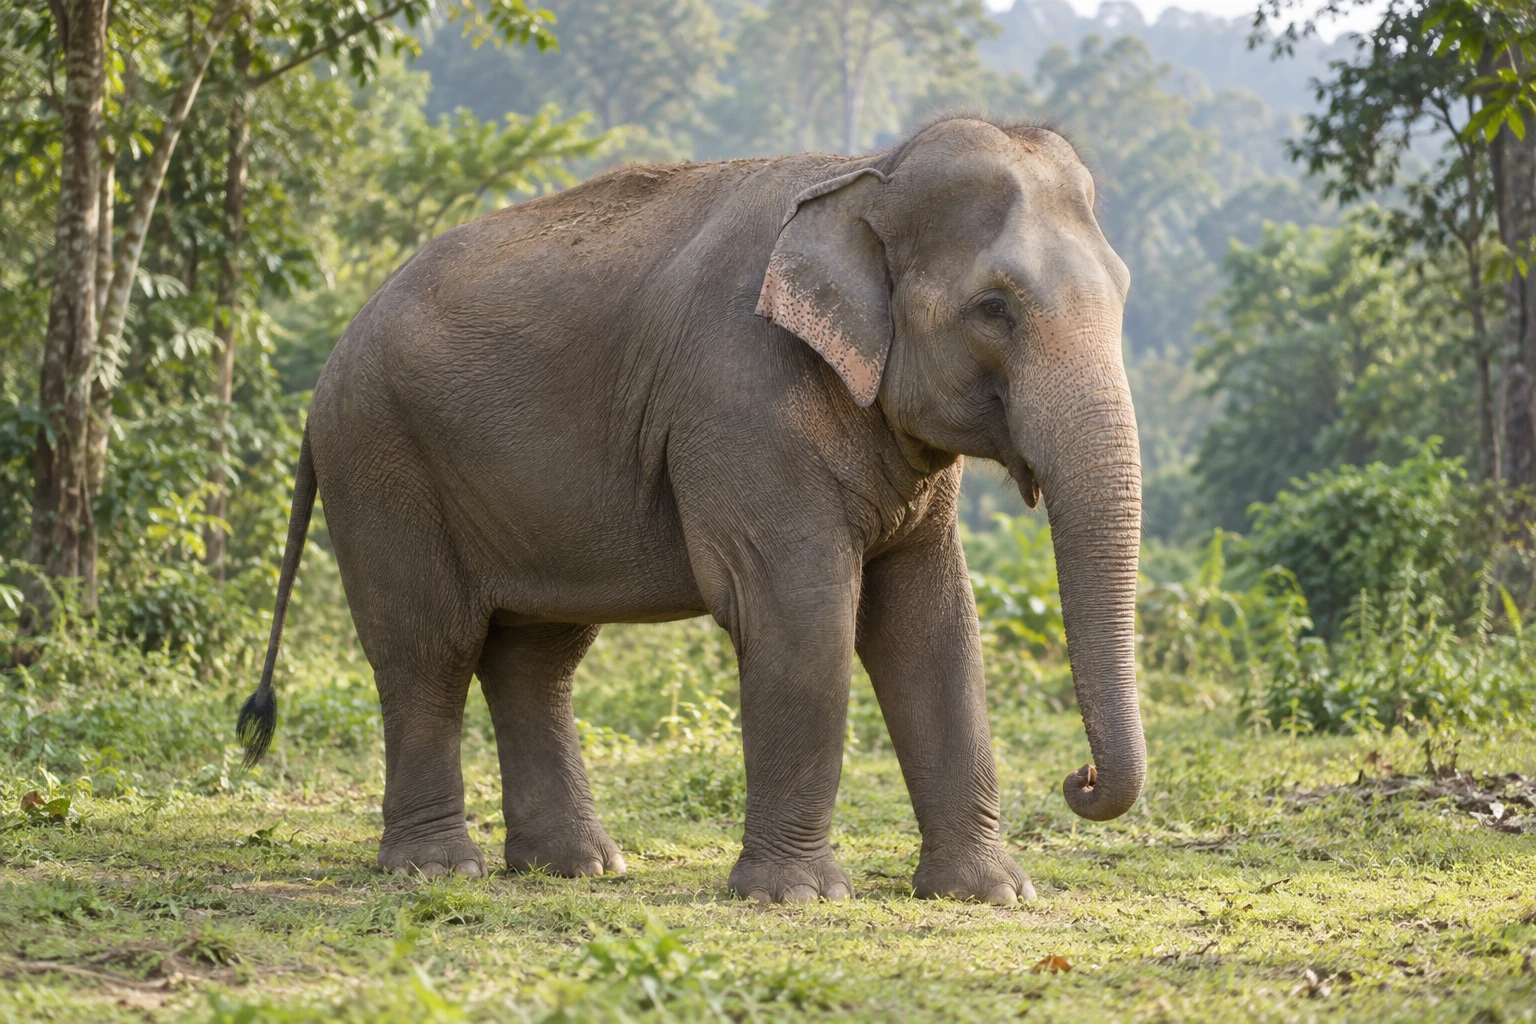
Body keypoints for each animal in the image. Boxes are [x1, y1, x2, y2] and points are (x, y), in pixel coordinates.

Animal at [237, 115, 1145, 906]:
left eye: (1125, 293)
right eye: (995, 308)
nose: (1081, 778)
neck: (866, 172)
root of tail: (328, 369)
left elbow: (932, 621)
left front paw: (991, 893)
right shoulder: (740, 398)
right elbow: (801, 613)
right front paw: (796, 898)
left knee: (534, 655)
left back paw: (578, 867)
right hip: (381, 459)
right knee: (430, 646)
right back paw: (435, 870)